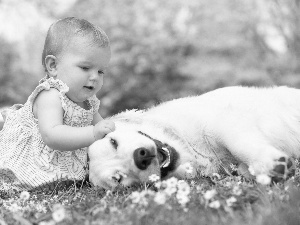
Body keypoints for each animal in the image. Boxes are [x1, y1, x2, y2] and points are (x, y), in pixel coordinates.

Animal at [88, 87, 298, 189]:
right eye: (118, 178)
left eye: (113, 142)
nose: (141, 156)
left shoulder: (219, 120)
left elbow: (237, 142)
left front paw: (269, 163)